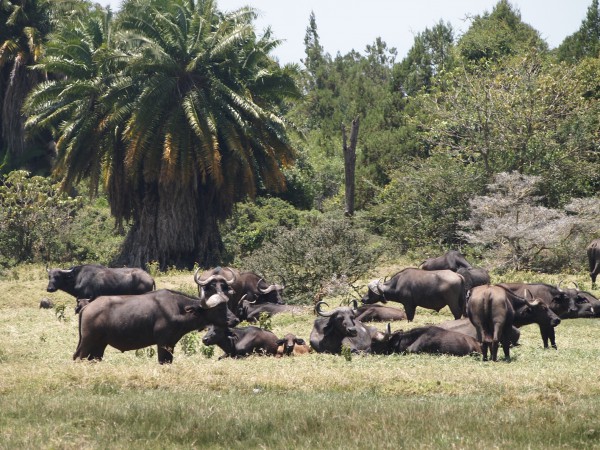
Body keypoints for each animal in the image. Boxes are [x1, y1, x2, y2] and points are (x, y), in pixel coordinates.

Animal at [72, 288, 237, 366]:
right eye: (219, 308)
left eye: (227, 305)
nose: (235, 319)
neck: (178, 309)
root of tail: (87, 307)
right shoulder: (163, 343)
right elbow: (163, 361)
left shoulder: (171, 344)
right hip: (88, 341)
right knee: (78, 357)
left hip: (100, 345)